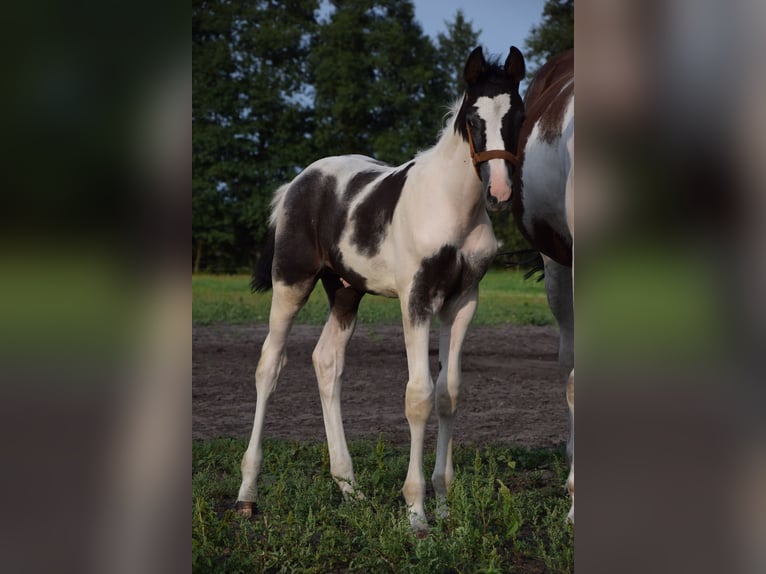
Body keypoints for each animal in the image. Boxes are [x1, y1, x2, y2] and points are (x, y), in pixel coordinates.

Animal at [237, 46, 532, 536]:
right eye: (473, 118)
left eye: (519, 116)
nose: (500, 191)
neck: (452, 206)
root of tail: (295, 184)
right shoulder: (416, 300)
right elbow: (419, 396)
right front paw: (416, 512)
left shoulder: (462, 302)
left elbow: (449, 393)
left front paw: (444, 502)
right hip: (291, 282)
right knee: (269, 366)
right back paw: (247, 495)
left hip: (345, 292)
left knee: (326, 362)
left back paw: (349, 488)